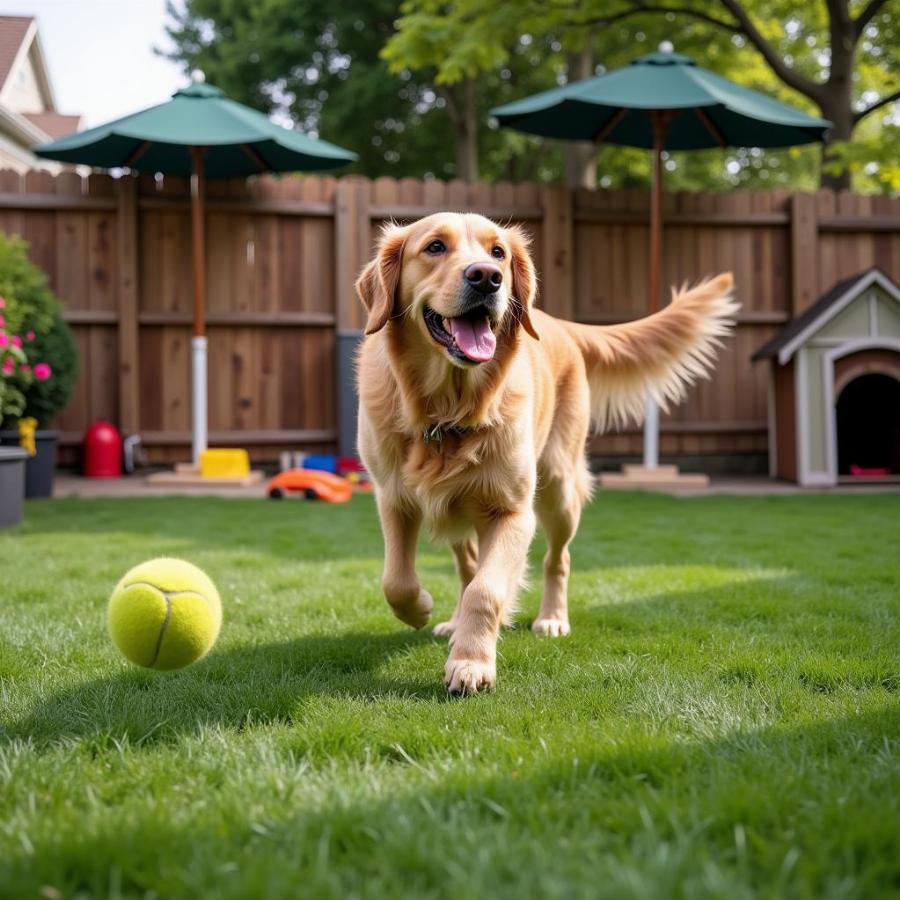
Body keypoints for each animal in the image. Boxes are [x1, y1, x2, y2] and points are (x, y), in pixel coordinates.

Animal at [356, 213, 736, 696]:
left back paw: (552, 619)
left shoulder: (513, 512)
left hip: (559, 491)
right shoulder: (394, 499)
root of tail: (558, 322)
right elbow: (397, 580)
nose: (488, 277)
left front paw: (471, 663)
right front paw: (422, 608)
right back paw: (455, 620)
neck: (448, 411)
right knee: (467, 565)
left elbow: (486, 591)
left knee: (558, 559)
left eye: (498, 252)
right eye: (435, 247)